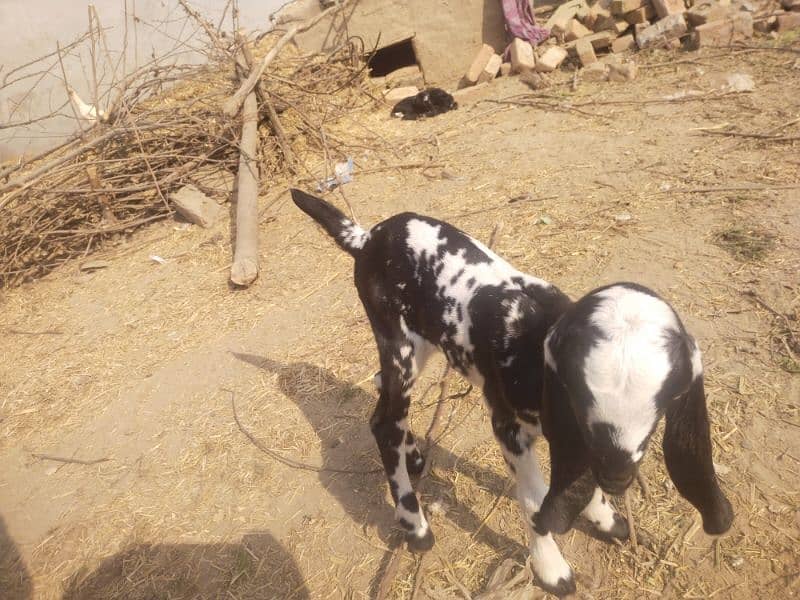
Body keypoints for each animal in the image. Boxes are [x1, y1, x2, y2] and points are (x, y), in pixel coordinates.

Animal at [290, 191, 732, 596]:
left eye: (664, 402)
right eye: (580, 395)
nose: (617, 476)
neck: (533, 345)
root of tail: (366, 238)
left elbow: (576, 473)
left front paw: (602, 517)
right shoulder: (508, 426)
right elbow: (536, 500)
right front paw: (552, 569)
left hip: (418, 347)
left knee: (382, 391)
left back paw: (413, 456)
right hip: (395, 339)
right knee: (384, 422)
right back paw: (415, 525)